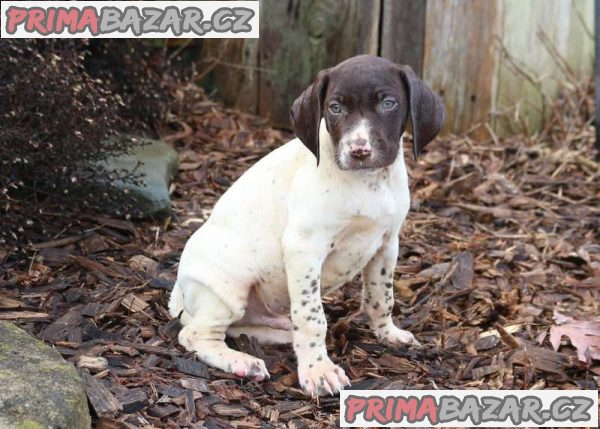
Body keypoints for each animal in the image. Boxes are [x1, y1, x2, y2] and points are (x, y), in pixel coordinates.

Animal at [170, 55, 446, 396]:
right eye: (335, 107)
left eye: (388, 103)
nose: (359, 151)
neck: (365, 183)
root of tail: (179, 291)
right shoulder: (304, 249)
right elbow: (313, 317)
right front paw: (318, 371)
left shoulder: (386, 243)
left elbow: (381, 297)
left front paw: (387, 333)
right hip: (227, 290)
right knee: (195, 334)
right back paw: (243, 362)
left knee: (243, 327)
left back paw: (281, 334)